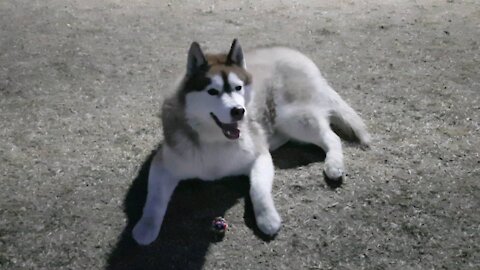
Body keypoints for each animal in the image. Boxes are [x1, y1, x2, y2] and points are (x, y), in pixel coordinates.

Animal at [133, 39, 370, 245]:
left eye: (238, 88)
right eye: (212, 91)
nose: (239, 111)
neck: (215, 140)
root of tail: (294, 53)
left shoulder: (259, 156)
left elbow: (258, 189)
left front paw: (267, 219)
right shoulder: (165, 164)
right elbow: (154, 200)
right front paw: (145, 227)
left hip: (292, 117)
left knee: (332, 137)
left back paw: (334, 165)